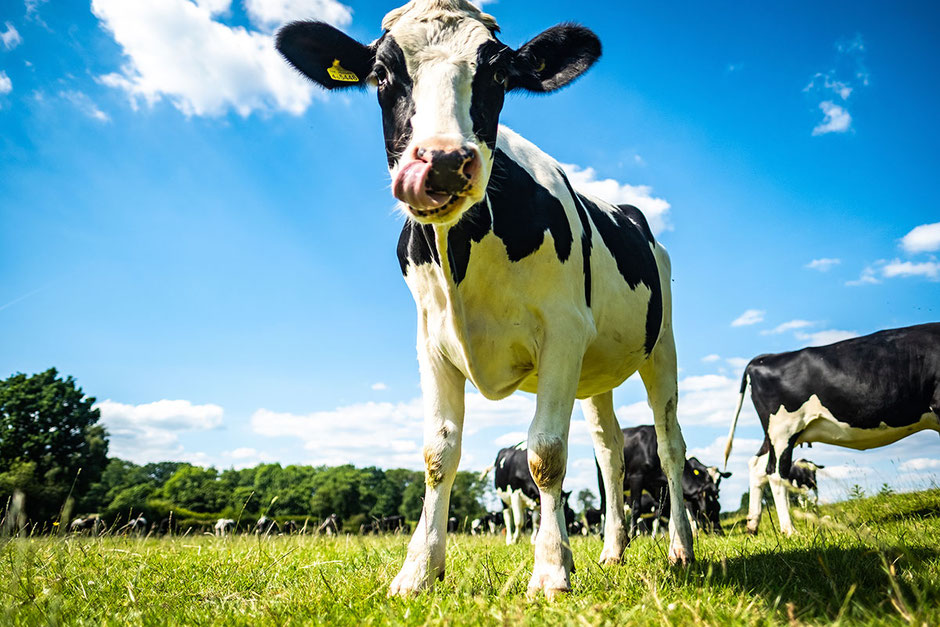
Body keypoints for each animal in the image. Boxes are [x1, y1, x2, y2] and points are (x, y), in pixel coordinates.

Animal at [276, 0, 695, 597]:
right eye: (381, 74)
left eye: (497, 73)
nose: (444, 161)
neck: (466, 257)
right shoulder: (431, 340)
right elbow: (438, 451)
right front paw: (418, 570)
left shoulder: (563, 331)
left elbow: (546, 452)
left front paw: (550, 570)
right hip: (595, 371)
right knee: (610, 450)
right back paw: (613, 550)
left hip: (661, 346)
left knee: (668, 443)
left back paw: (681, 548)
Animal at [723, 323, 940, 536]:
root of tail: (763, 358)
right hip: (783, 430)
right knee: (776, 473)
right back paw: (790, 530)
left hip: (775, 435)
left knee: (757, 465)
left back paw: (753, 526)